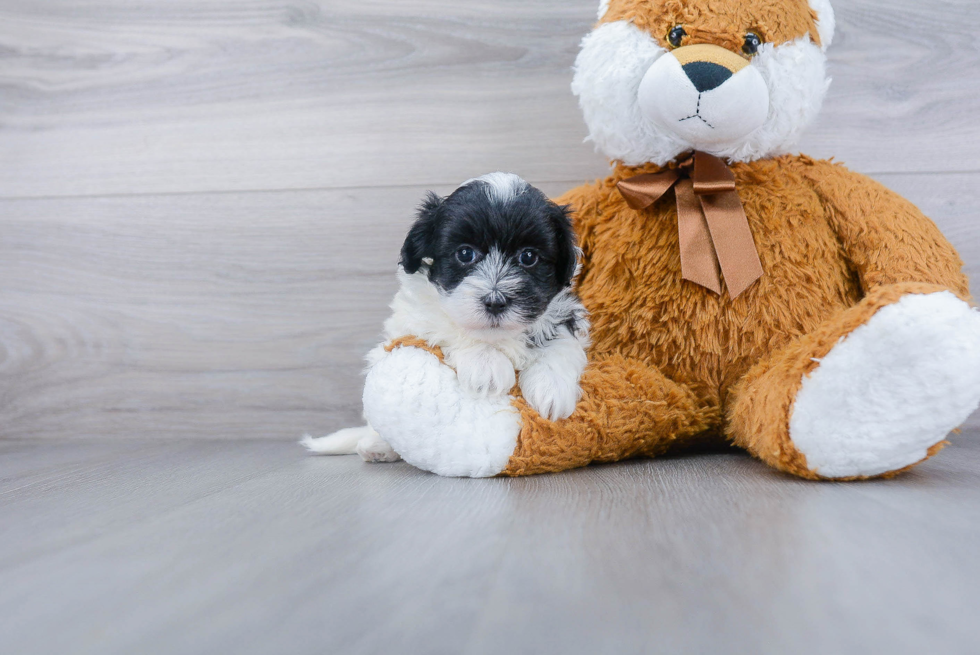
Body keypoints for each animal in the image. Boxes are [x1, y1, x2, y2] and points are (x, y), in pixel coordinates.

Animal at [302, 172, 584, 464]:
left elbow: (560, 341)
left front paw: (552, 387)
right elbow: (447, 324)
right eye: (465, 254)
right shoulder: (417, 313)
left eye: (528, 257)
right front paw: (487, 365)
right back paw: (377, 445)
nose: (495, 301)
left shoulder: (564, 310)